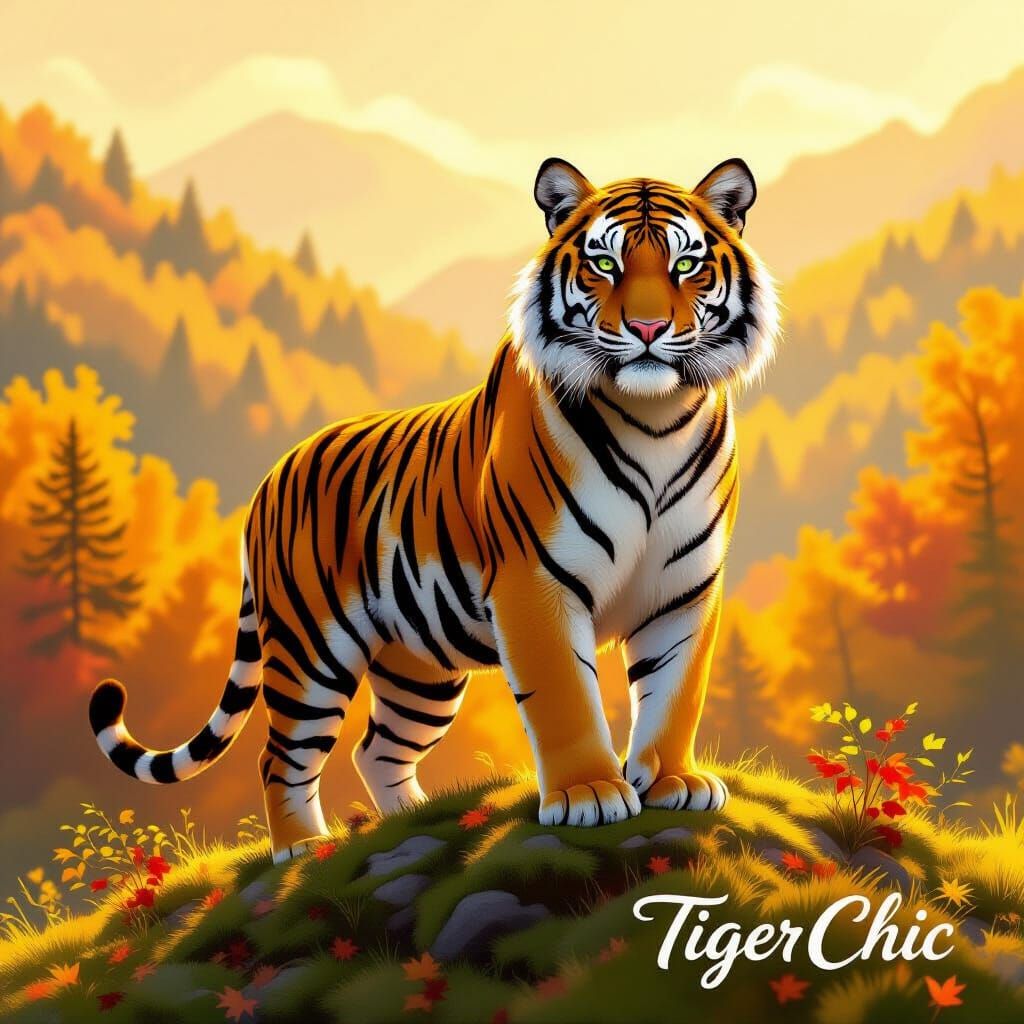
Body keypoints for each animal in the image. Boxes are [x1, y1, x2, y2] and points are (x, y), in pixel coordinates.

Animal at [89, 157, 779, 863]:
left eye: (686, 264)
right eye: (604, 265)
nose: (646, 330)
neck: (654, 419)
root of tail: (270, 476)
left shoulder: (685, 587)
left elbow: (676, 691)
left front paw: (672, 782)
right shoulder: (536, 584)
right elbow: (566, 696)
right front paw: (588, 794)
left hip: (420, 668)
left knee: (377, 749)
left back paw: (416, 820)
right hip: (310, 650)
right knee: (280, 757)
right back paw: (304, 850)